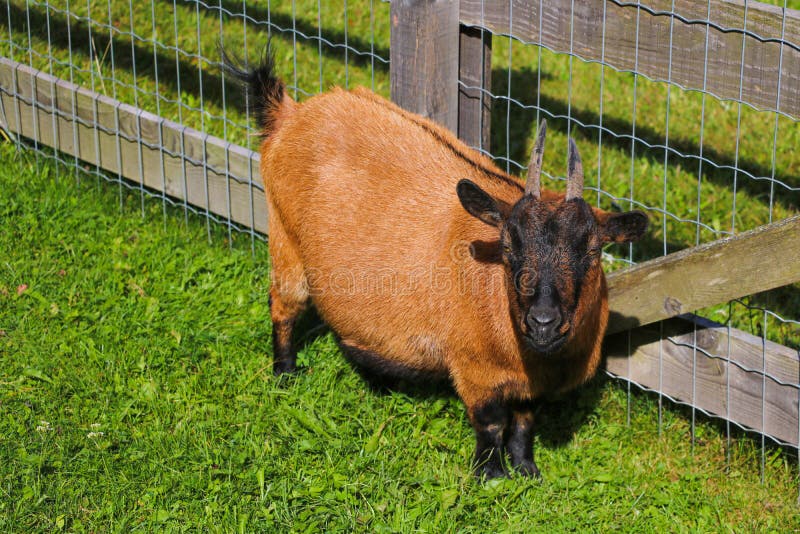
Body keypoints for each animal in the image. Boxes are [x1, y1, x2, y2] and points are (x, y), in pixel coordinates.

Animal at [223, 49, 648, 479]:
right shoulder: (474, 369)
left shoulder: (532, 387)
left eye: (591, 250)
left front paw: (527, 469)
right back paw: (286, 373)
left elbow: (526, 420)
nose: (543, 321)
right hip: (285, 241)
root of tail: (289, 113)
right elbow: (491, 421)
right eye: (508, 244)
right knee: (283, 306)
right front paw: (491, 475)